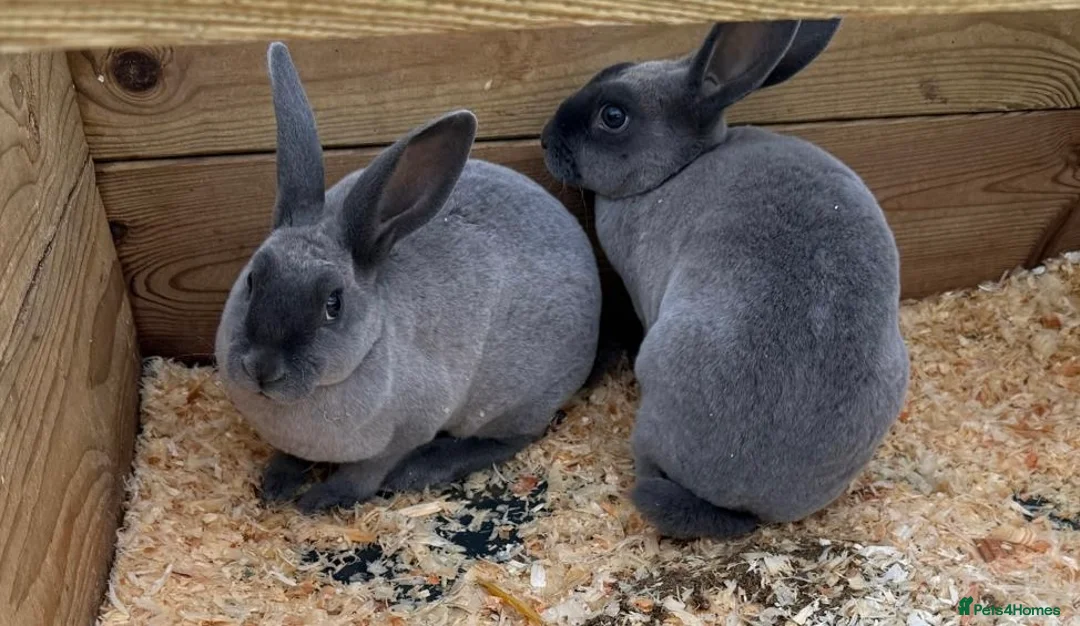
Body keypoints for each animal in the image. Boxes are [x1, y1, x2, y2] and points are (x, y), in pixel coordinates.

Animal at [215, 42, 602, 514]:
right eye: (253, 280)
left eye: (333, 304)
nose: (262, 367)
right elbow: (290, 456)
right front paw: (275, 485)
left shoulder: (405, 432)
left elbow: (364, 476)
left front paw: (318, 500)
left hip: (518, 400)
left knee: (511, 438)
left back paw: (424, 468)